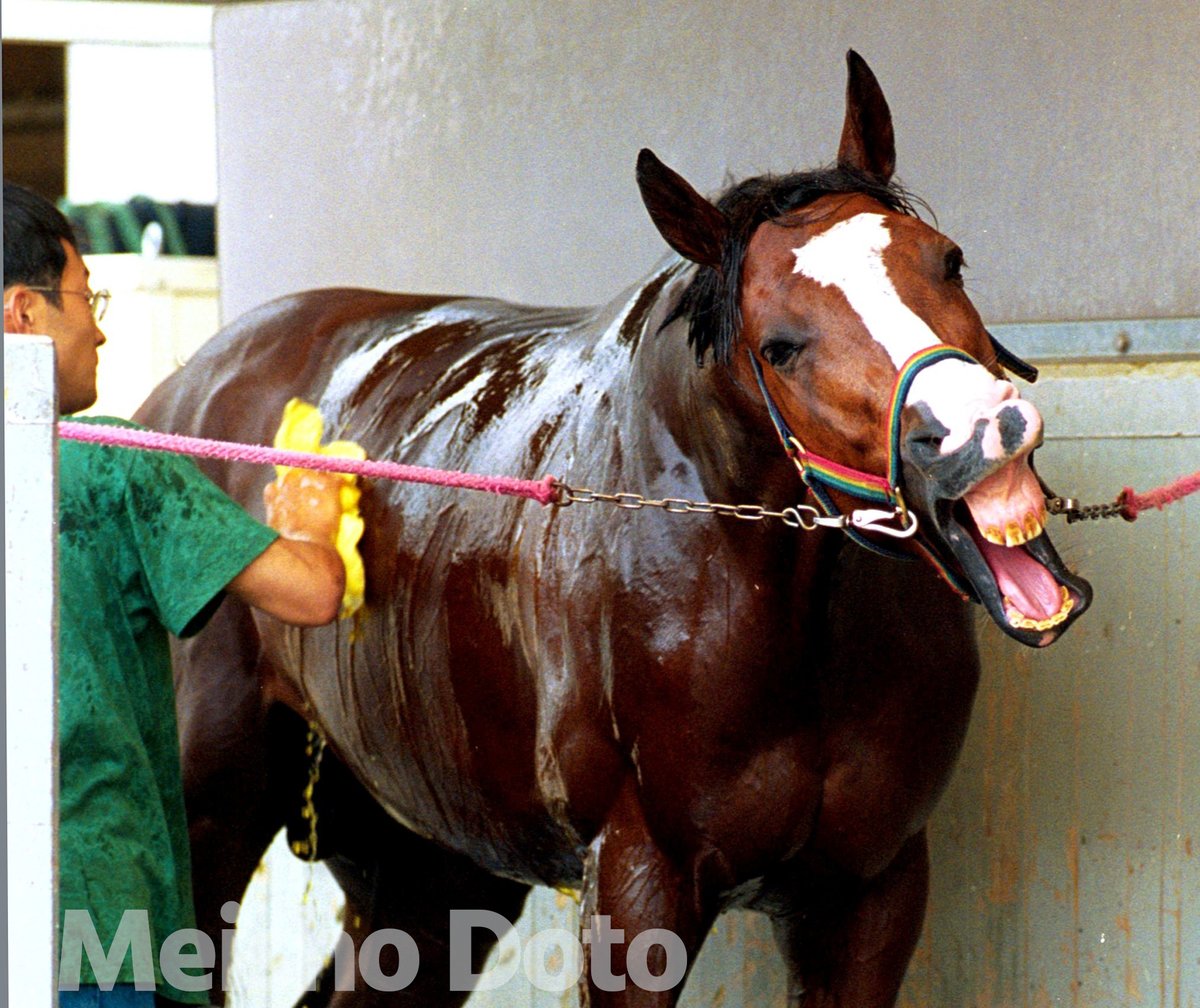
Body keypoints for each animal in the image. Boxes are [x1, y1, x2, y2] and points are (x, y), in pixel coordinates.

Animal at [137, 50, 1092, 1007]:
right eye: (779, 346)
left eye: (949, 262)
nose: (983, 431)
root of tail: (183, 392)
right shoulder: (640, 885)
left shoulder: (870, 892)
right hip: (211, 809)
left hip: (432, 866)